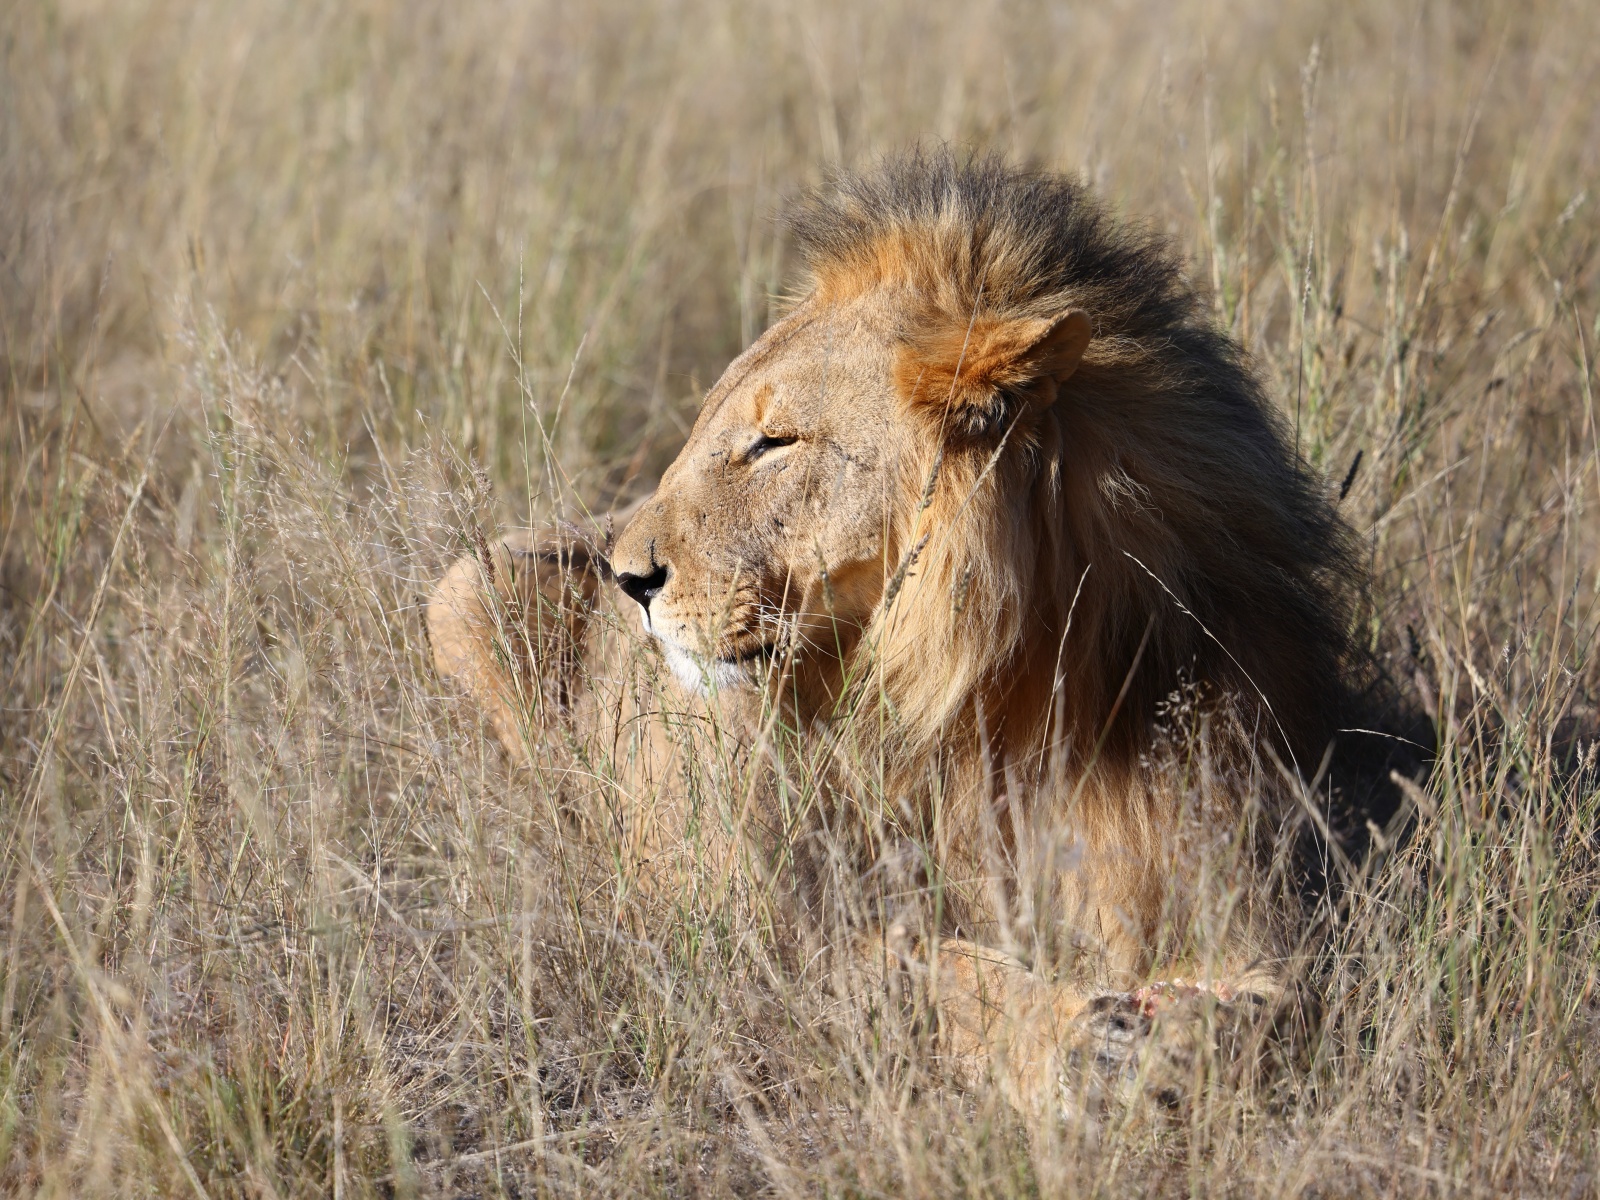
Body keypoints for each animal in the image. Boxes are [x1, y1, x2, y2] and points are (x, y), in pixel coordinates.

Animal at [426, 151, 1428, 1120]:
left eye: (775, 442)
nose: (627, 580)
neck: (1002, 694)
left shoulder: (1228, 876)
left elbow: (1292, 1000)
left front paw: (1196, 1029)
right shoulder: (800, 938)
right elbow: (938, 973)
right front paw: (1080, 1043)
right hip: (466, 589)